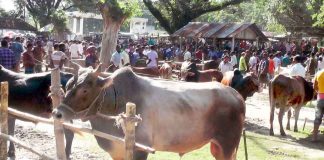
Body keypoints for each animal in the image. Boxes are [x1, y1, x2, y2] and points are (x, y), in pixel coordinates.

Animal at [53, 65, 246, 159]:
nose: (57, 113)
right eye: (67, 85)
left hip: (228, 145)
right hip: (217, 147)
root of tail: (236, 95)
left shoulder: (140, 150)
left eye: (84, 90)